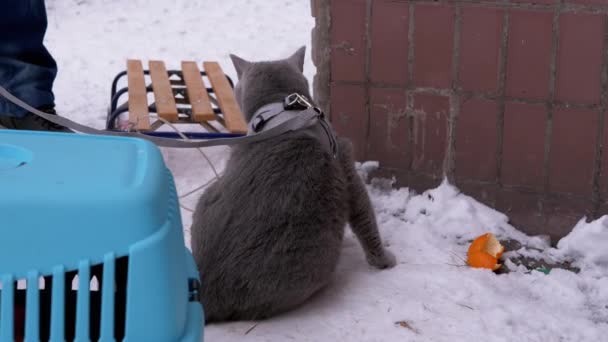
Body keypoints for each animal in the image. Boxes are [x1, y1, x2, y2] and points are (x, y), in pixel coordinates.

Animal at [192, 46, 396, 324]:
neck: (279, 110)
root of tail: (205, 292)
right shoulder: (345, 159)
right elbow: (365, 218)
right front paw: (384, 261)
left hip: (205, 196)